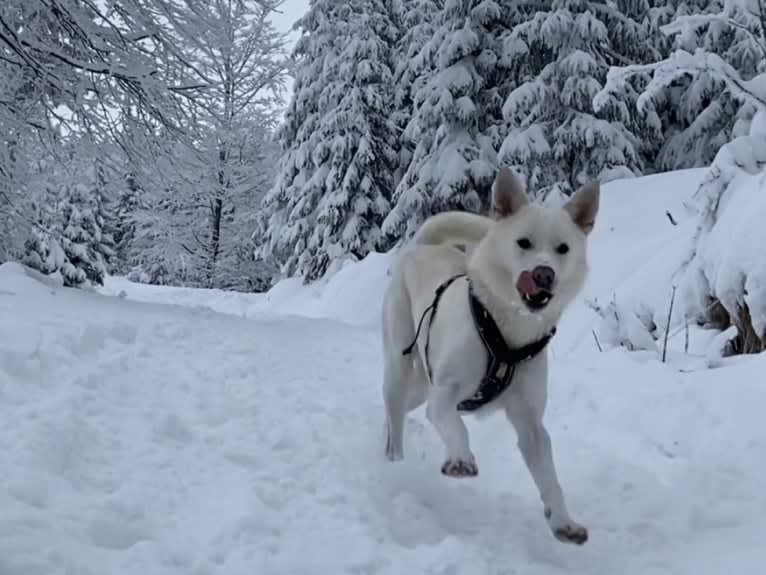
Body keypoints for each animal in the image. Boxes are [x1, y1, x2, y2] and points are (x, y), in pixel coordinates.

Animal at [382, 165, 600, 544]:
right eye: (523, 242)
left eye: (563, 248)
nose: (544, 274)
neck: (507, 334)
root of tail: (422, 247)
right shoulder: (444, 396)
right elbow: (454, 425)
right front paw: (460, 458)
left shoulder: (530, 424)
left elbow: (550, 477)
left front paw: (562, 521)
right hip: (399, 364)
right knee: (395, 416)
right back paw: (395, 462)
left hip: (421, 384)